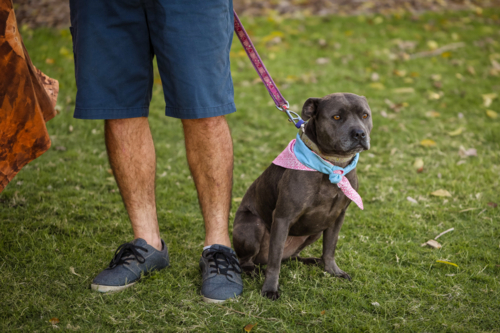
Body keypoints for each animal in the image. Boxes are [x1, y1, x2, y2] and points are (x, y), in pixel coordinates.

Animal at [233, 92, 372, 298]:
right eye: (336, 117)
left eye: (365, 115)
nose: (359, 133)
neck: (332, 164)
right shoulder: (282, 217)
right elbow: (274, 262)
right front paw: (270, 288)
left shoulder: (337, 217)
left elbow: (330, 248)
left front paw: (333, 271)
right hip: (252, 226)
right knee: (250, 260)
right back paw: (253, 270)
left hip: (315, 230)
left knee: (291, 257)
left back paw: (312, 261)